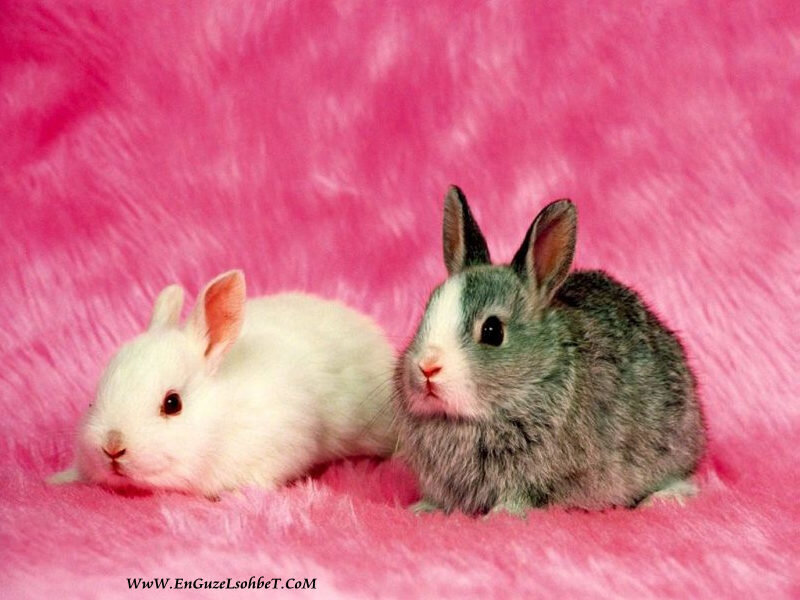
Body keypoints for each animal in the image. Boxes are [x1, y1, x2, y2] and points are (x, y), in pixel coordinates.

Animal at [395, 186, 706, 516]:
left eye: (492, 331)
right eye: (425, 314)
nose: (427, 367)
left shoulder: (532, 476)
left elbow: (519, 495)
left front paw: (502, 515)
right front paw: (421, 510)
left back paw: (663, 498)